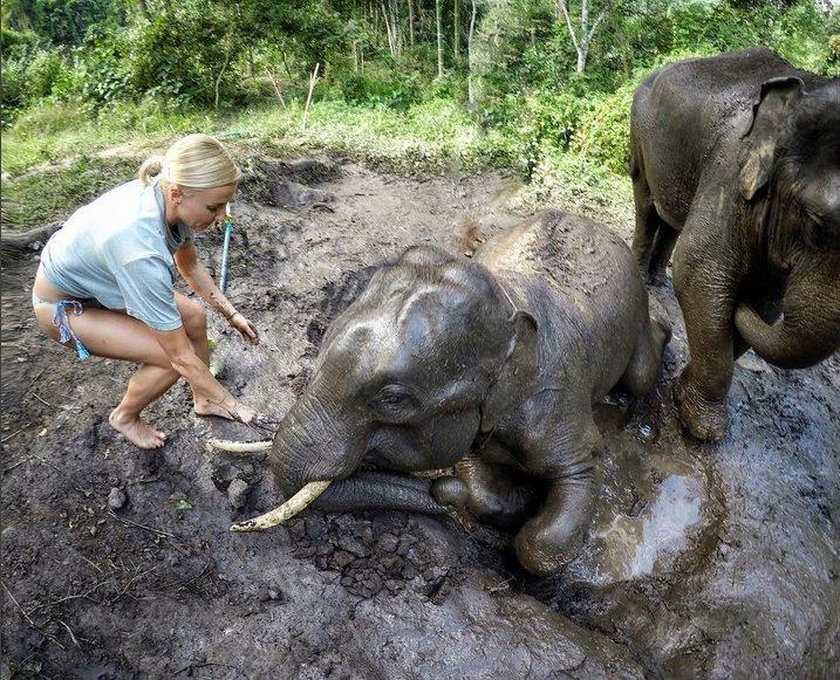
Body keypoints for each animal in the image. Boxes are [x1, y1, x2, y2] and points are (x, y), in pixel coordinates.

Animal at [632, 46, 840, 440]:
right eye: (816, 221)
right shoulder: (729, 169)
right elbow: (699, 271)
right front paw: (701, 428)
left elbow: (765, 305)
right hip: (639, 132)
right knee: (646, 203)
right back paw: (640, 278)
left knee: (670, 220)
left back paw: (658, 281)